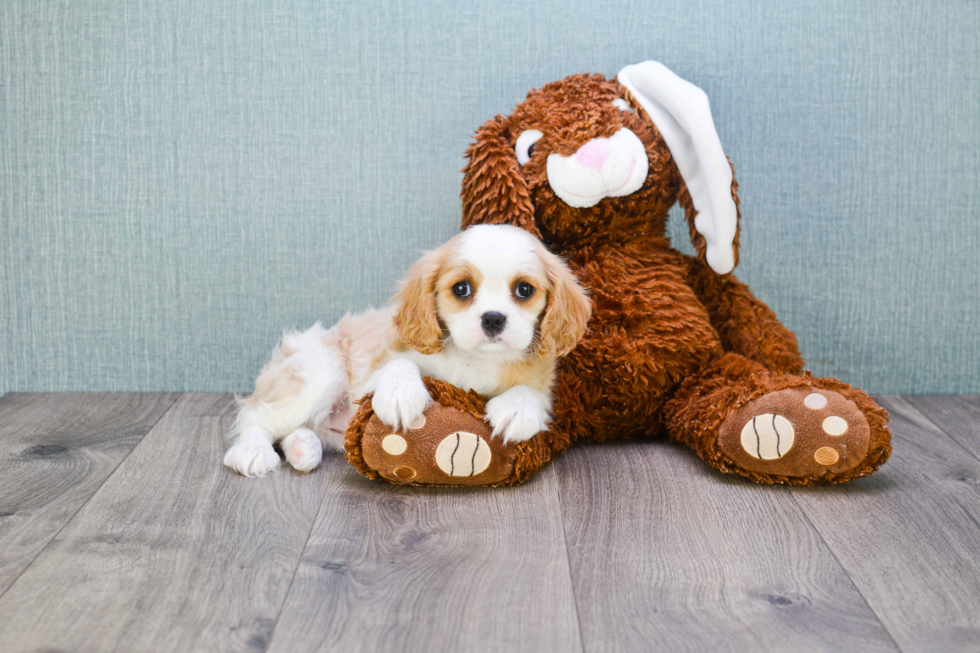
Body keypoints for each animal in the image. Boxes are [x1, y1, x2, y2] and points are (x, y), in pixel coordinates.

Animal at [223, 223, 588, 474]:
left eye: (524, 290)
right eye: (462, 288)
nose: (494, 319)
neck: (475, 361)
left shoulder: (543, 379)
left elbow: (533, 393)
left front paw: (516, 409)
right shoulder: (375, 369)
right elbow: (399, 365)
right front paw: (400, 395)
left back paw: (303, 448)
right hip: (318, 372)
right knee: (256, 415)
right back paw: (253, 451)